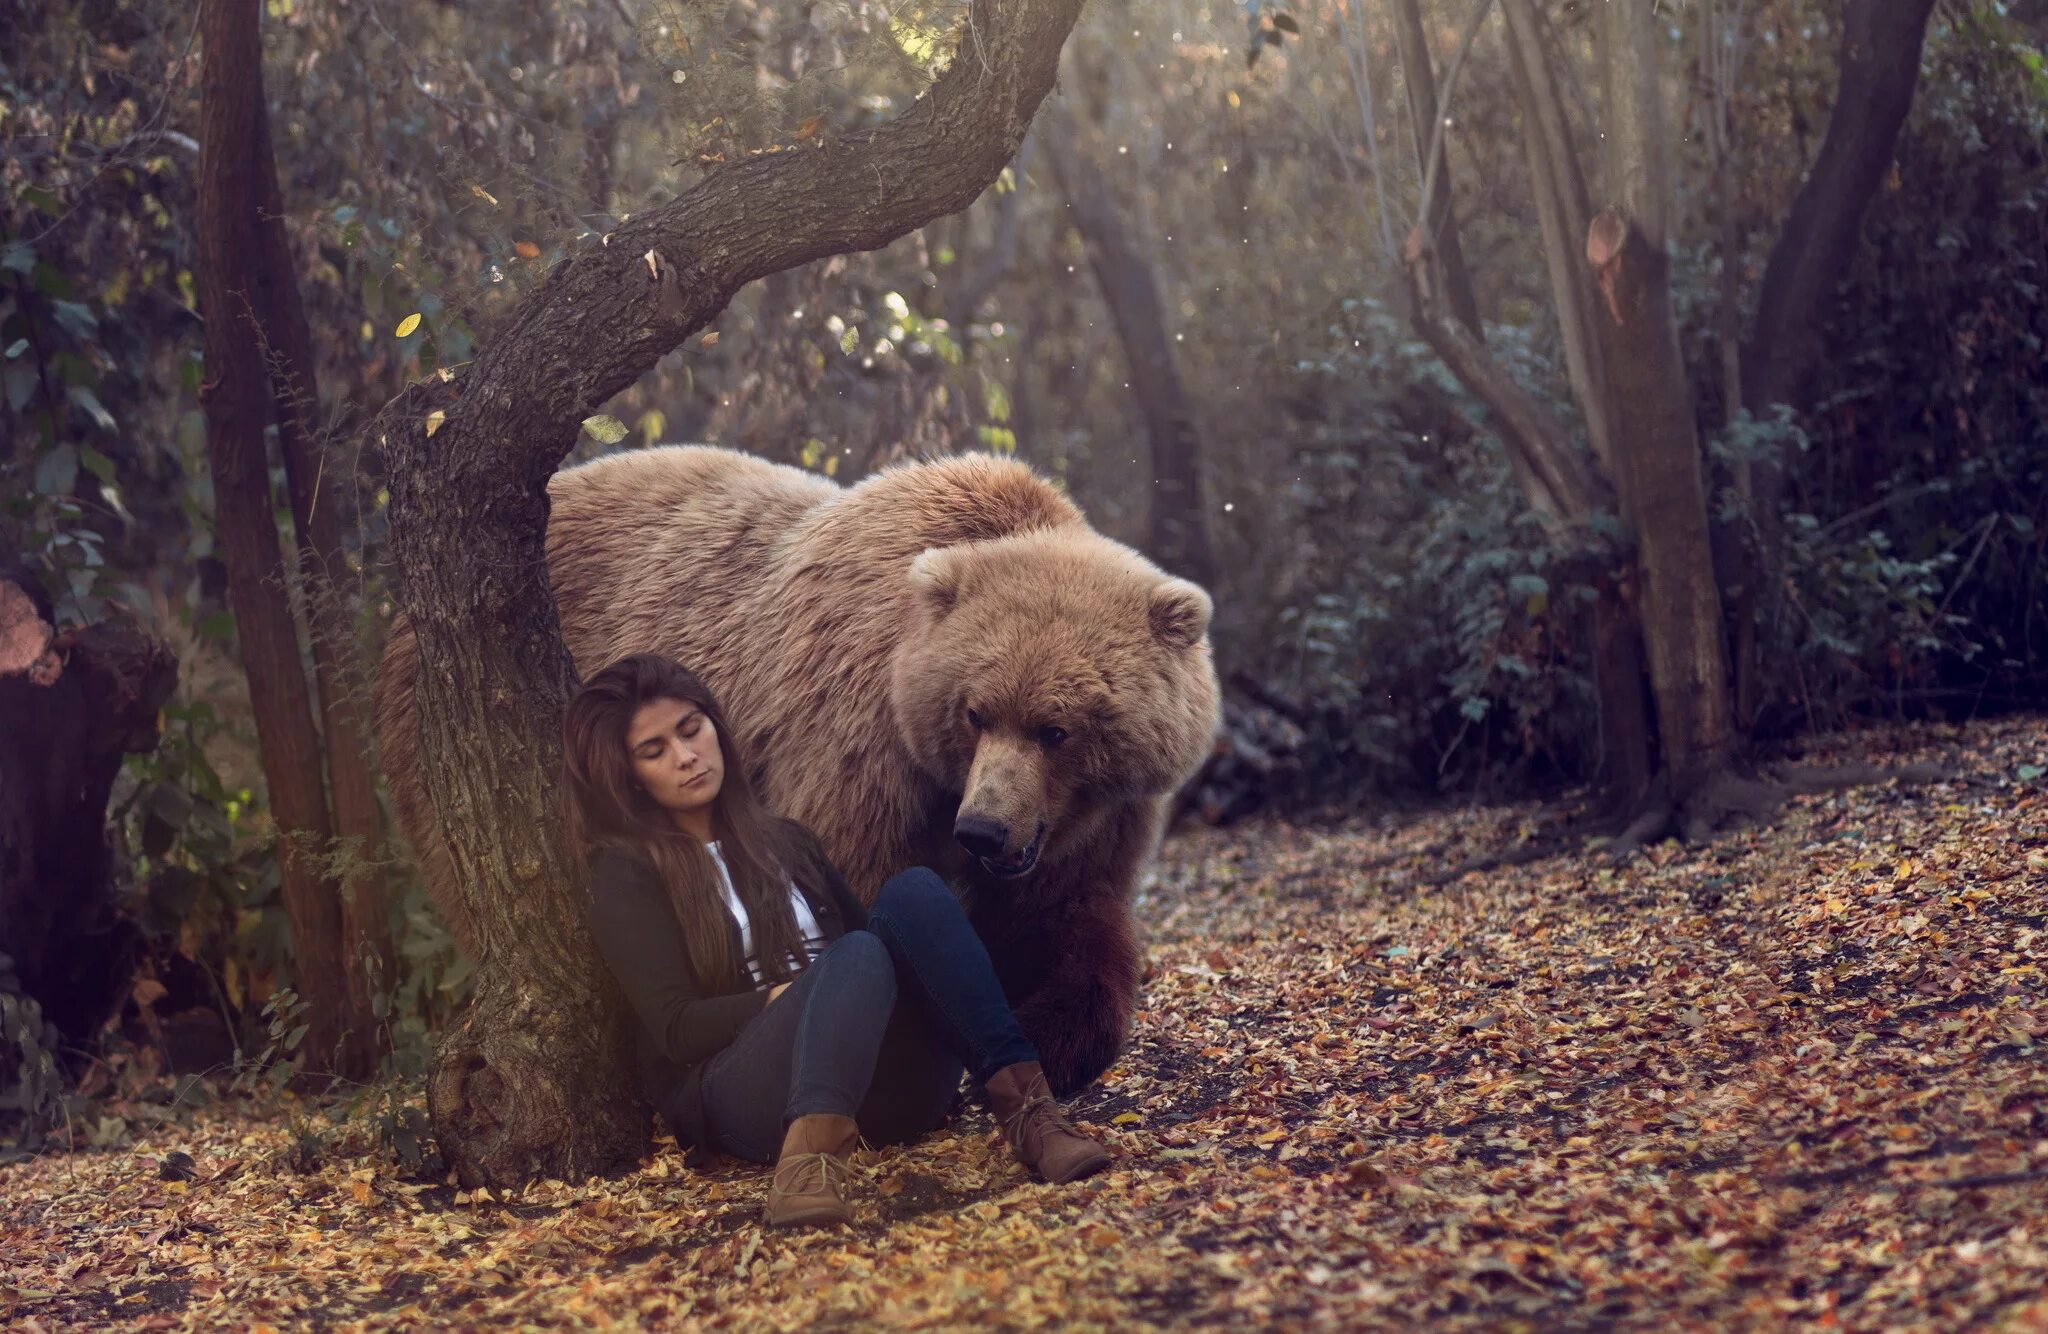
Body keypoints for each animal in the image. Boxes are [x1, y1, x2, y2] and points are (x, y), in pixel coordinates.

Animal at [374, 448, 1212, 1098]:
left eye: (1057, 728)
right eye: (975, 712)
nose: (984, 831)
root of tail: (401, 609)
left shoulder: (1091, 822)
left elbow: (1071, 919)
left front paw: (1050, 1034)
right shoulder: (858, 742)